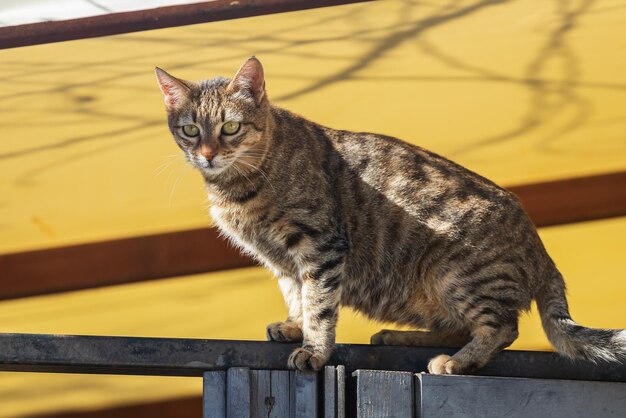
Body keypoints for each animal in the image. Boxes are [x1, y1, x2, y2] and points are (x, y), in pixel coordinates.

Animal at [155, 57, 624, 374]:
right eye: (190, 130)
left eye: (231, 127)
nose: (208, 154)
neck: (238, 187)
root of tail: (542, 253)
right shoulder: (283, 259)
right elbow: (297, 295)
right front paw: (294, 325)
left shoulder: (320, 245)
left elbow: (320, 304)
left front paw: (314, 349)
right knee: (463, 326)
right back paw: (402, 336)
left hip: (458, 274)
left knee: (502, 328)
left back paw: (455, 362)